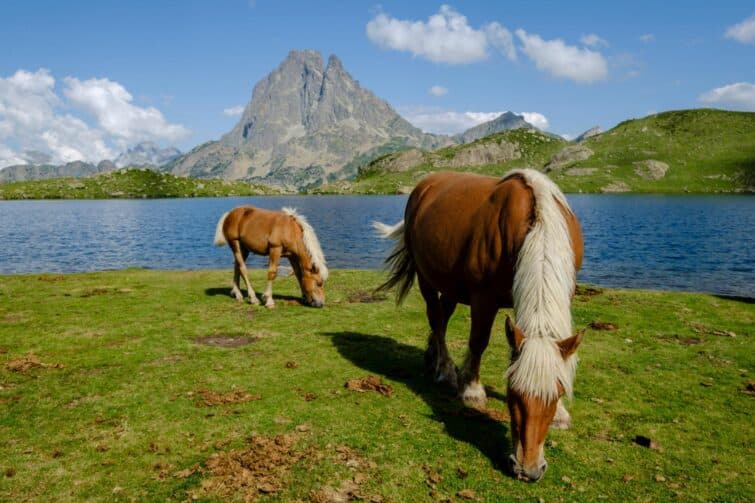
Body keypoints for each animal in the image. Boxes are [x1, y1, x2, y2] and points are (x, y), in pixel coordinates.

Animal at [376, 170, 584, 484]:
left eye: (557, 393)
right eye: (512, 393)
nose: (528, 470)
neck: (535, 222)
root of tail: (426, 185)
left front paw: (560, 414)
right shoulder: (483, 298)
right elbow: (478, 341)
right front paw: (472, 389)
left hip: (450, 283)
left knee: (443, 315)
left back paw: (433, 358)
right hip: (427, 278)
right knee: (436, 319)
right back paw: (446, 371)